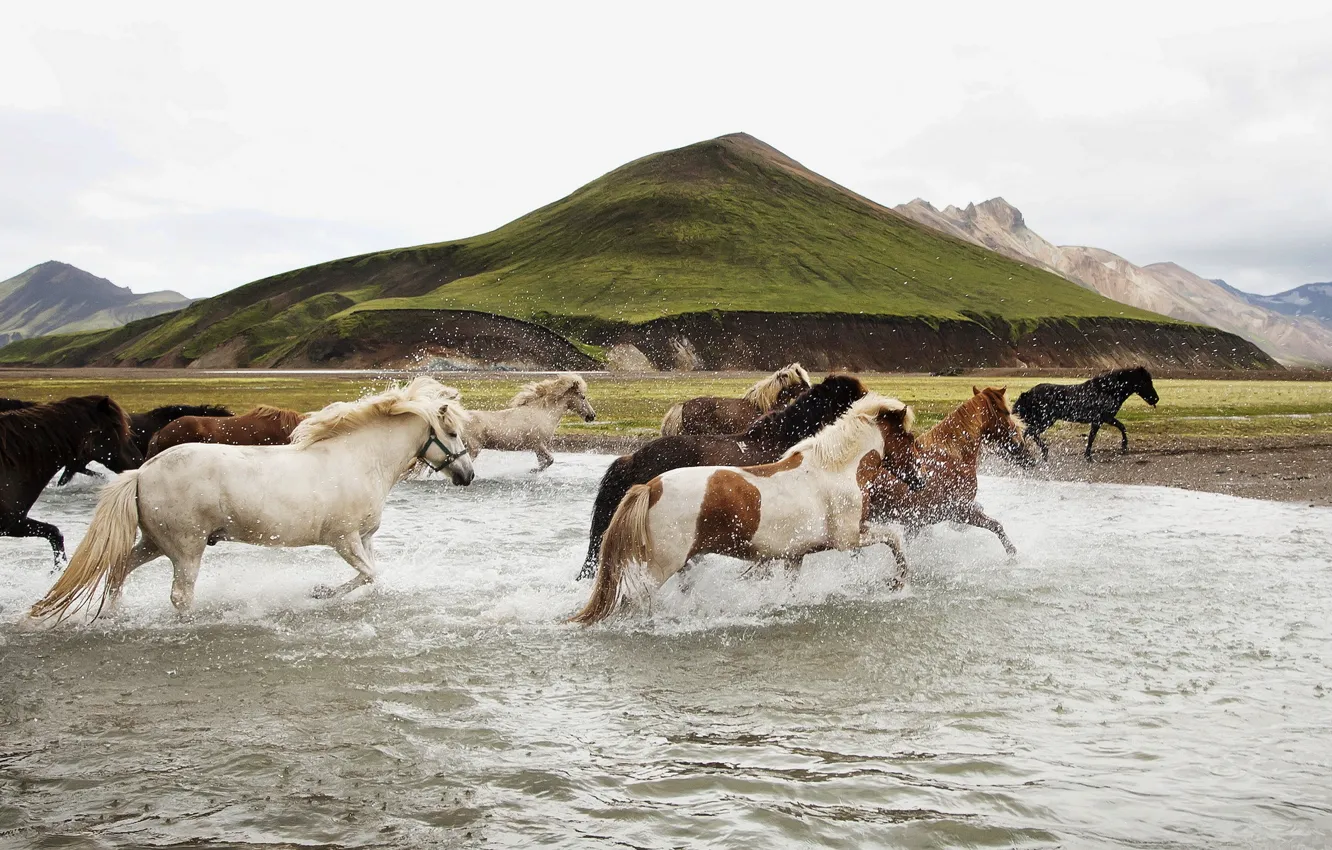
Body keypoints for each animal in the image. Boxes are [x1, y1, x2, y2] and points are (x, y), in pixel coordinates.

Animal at [0, 396, 142, 565]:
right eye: (116, 426)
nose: (138, 459)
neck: (12, 460)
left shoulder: (14, 523)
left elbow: (55, 534)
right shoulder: (10, 524)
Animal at [462, 373, 596, 471]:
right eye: (583, 396)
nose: (592, 416)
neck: (544, 413)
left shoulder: (537, 448)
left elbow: (544, 463)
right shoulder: (538, 444)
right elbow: (550, 460)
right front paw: (532, 470)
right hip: (473, 449)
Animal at [867, 386, 1036, 557]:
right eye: (1006, 412)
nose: (1022, 445)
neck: (953, 456)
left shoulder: (917, 522)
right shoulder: (960, 511)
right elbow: (996, 525)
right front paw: (1012, 552)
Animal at [1013, 366, 1160, 460]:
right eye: (1146, 381)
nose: (1156, 399)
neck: (1108, 390)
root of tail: (1028, 394)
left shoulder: (1106, 418)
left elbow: (1121, 427)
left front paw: (1123, 447)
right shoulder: (1099, 419)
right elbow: (1092, 437)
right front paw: (1089, 456)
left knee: (1029, 433)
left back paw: (1043, 452)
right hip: (1045, 421)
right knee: (1029, 433)